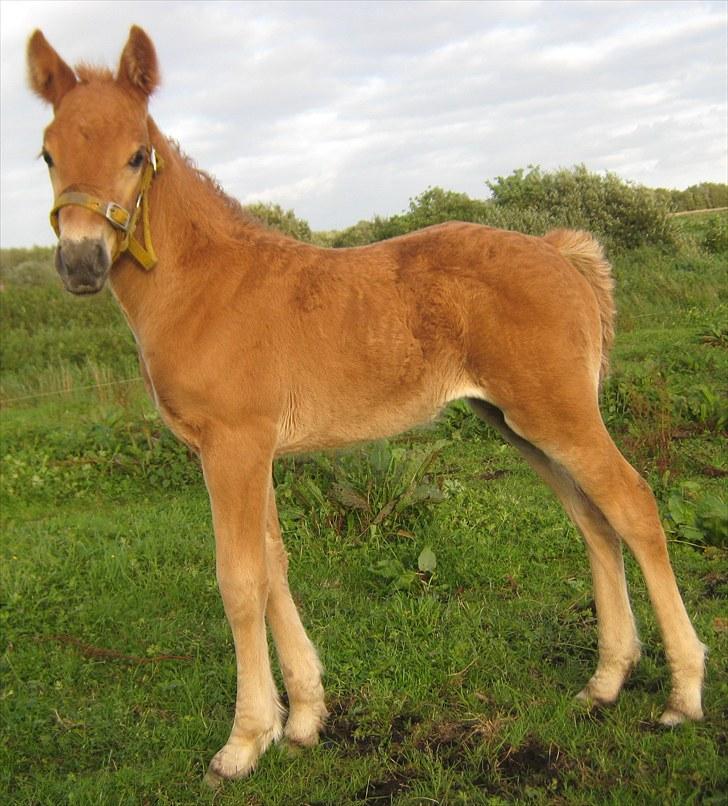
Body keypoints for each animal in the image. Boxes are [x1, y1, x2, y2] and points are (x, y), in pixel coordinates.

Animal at [28, 25, 704, 784]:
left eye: (136, 153)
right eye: (48, 153)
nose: (80, 264)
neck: (207, 286)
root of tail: (561, 254)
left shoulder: (232, 447)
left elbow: (239, 580)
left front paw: (243, 742)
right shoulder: (253, 450)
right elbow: (274, 566)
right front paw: (303, 720)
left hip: (557, 415)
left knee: (634, 505)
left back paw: (683, 693)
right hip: (519, 424)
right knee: (594, 521)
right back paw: (606, 681)